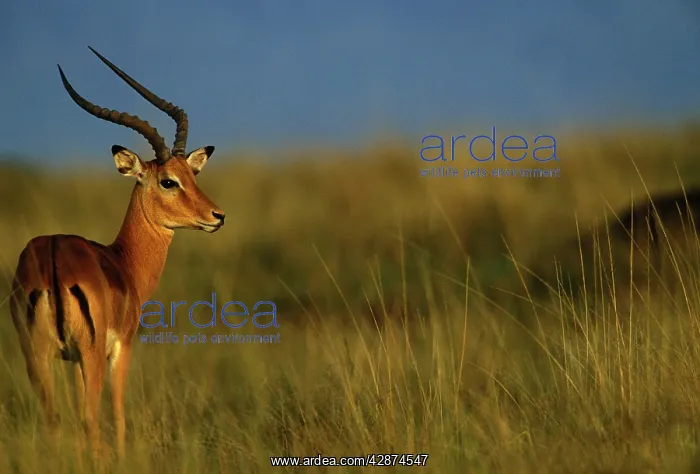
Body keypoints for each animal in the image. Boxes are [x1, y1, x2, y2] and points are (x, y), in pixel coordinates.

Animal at [9, 46, 225, 457]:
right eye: (168, 181)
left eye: (193, 176)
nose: (217, 216)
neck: (122, 262)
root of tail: (52, 263)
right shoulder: (121, 348)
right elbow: (119, 415)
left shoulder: (69, 359)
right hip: (90, 355)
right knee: (90, 420)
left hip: (37, 356)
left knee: (54, 421)